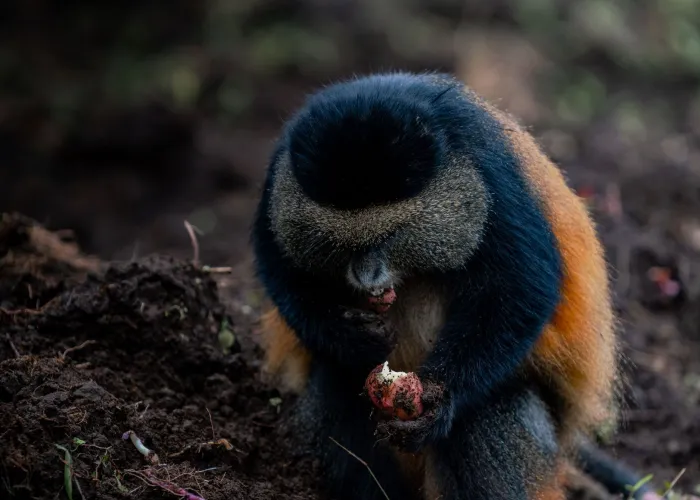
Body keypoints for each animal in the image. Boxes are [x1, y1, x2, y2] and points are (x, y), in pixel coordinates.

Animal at [251, 71, 661, 500]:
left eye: (391, 236)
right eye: (336, 242)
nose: (367, 277)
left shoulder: (492, 175)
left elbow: (520, 289)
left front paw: (440, 402)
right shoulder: (277, 175)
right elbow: (281, 272)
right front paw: (350, 336)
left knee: (489, 411)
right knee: (335, 378)